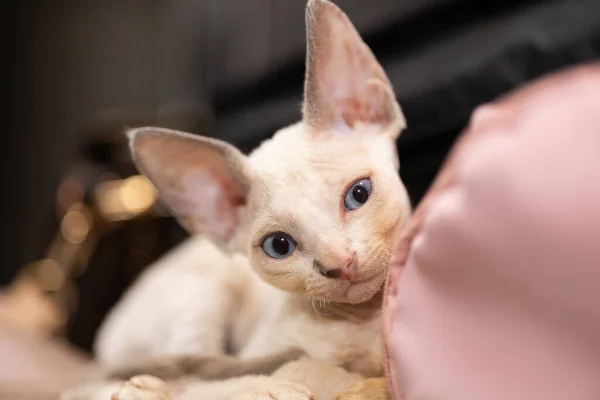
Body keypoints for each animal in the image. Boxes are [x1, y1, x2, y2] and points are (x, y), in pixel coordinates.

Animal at [63, 1, 410, 398]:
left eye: (359, 194)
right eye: (279, 245)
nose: (340, 264)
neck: (366, 318)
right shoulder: (270, 351)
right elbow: (311, 370)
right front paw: (337, 383)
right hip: (203, 298)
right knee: (193, 378)